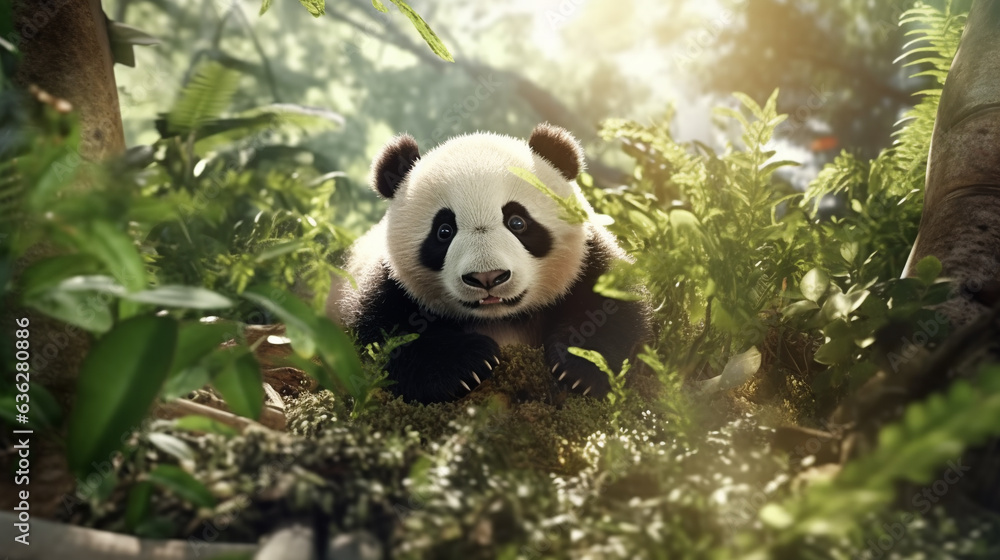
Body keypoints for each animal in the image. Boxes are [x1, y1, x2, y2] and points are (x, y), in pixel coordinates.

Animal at [328, 123, 651, 404]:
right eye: (444, 231)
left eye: (517, 221)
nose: (488, 277)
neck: (499, 318)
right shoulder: (388, 282)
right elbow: (387, 336)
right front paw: (466, 364)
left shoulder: (588, 258)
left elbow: (612, 307)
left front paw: (579, 369)